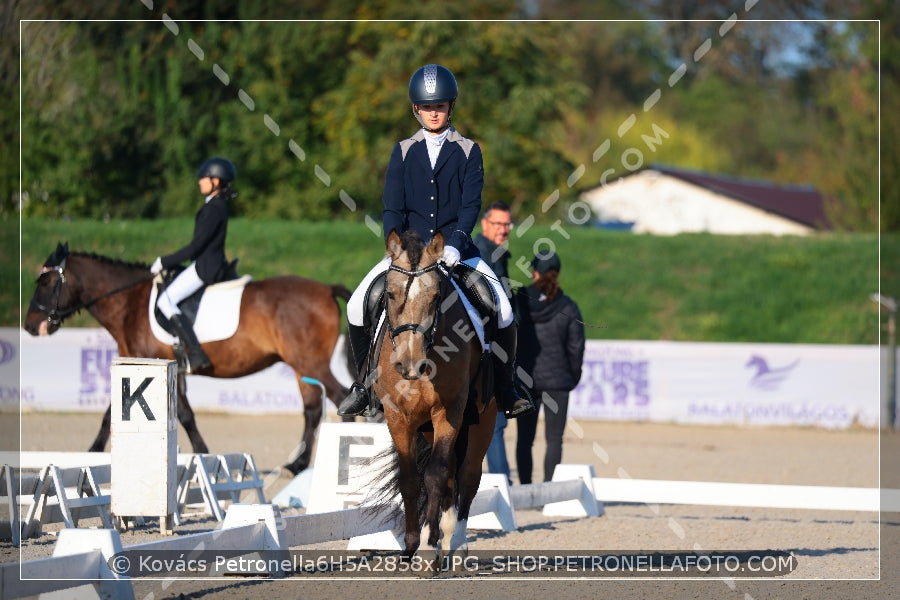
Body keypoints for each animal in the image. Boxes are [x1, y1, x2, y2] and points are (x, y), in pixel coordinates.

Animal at [24, 243, 348, 474]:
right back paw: (297, 465)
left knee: (341, 399)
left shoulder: (156, 363)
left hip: (311, 363)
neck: (129, 303)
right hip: (302, 367)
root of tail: (326, 288)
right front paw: (90, 455)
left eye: (45, 281)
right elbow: (120, 413)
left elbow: (183, 415)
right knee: (312, 410)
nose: (30, 325)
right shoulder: (155, 367)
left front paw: (205, 456)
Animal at [366, 230, 496, 564]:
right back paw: (444, 538)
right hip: (427, 426)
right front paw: (413, 544)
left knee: (467, 475)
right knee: (450, 474)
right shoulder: (398, 416)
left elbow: (435, 475)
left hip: (484, 417)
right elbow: (410, 478)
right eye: (390, 295)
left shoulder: (448, 411)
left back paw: (457, 543)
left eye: (437, 297)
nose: (409, 364)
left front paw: (428, 547)